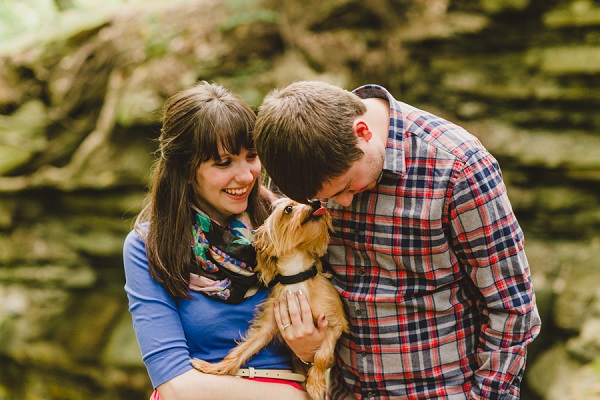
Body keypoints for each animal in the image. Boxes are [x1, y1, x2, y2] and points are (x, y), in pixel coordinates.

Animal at [192, 197, 350, 400]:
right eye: (288, 209)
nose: (316, 201)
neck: (296, 277)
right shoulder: (267, 327)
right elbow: (241, 350)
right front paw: (215, 368)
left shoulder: (334, 323)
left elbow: (322, 355)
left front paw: (315, 383)